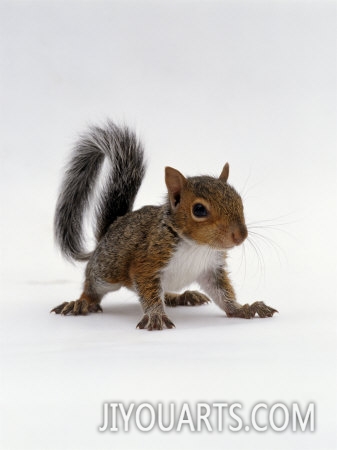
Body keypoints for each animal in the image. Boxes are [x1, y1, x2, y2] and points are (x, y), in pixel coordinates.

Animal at [50, 120, 276, 330]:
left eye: (239, 200)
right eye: (199, 210)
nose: (240, 235)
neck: (196, 246)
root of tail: (112, 228)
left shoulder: (212, 269)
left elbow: (223, 294)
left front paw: (242, 308)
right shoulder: (147, 261)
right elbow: (149, 293)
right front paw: (155, 316)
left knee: (164, 293)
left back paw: (182, 296)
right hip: (107, 270)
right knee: (92, 286)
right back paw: (80, 303)